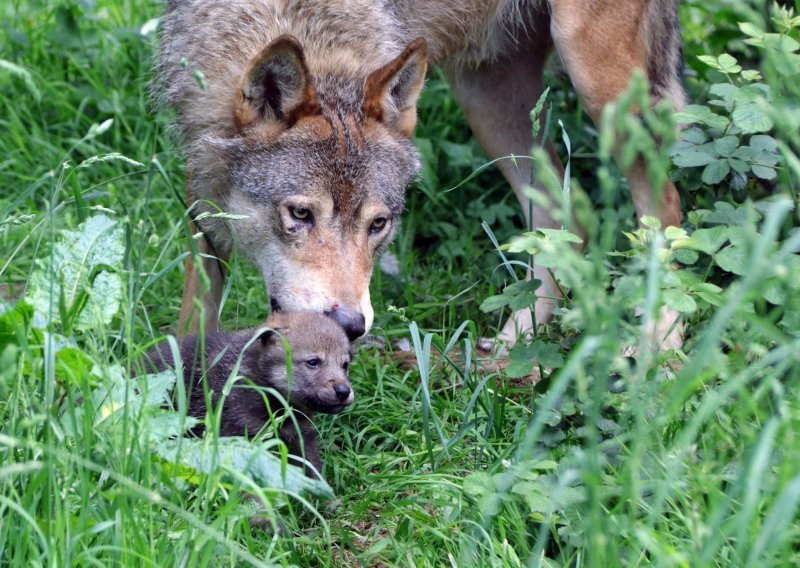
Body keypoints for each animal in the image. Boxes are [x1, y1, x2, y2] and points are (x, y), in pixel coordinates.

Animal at [159, 1, 684, 342]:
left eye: (378, 224)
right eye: (301, 214)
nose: (351, 328)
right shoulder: (199, 178)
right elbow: (197, 305)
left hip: (595, 80)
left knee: (666, 206)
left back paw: (657, 355)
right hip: (485, 96)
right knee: (566, 220)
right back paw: (511, 357)